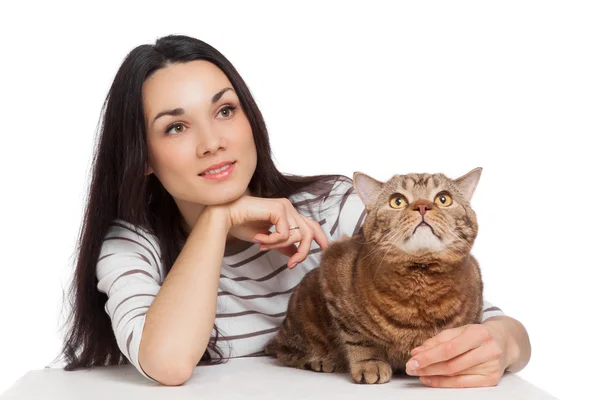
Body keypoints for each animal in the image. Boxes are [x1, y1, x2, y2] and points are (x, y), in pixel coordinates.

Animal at [264, 167, 486, 382]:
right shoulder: (332, 270)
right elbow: (359, 337)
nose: (422, 206)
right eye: (397, 201)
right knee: (285, 351)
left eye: (443, 199)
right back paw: (322, 361)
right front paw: (369, 364)